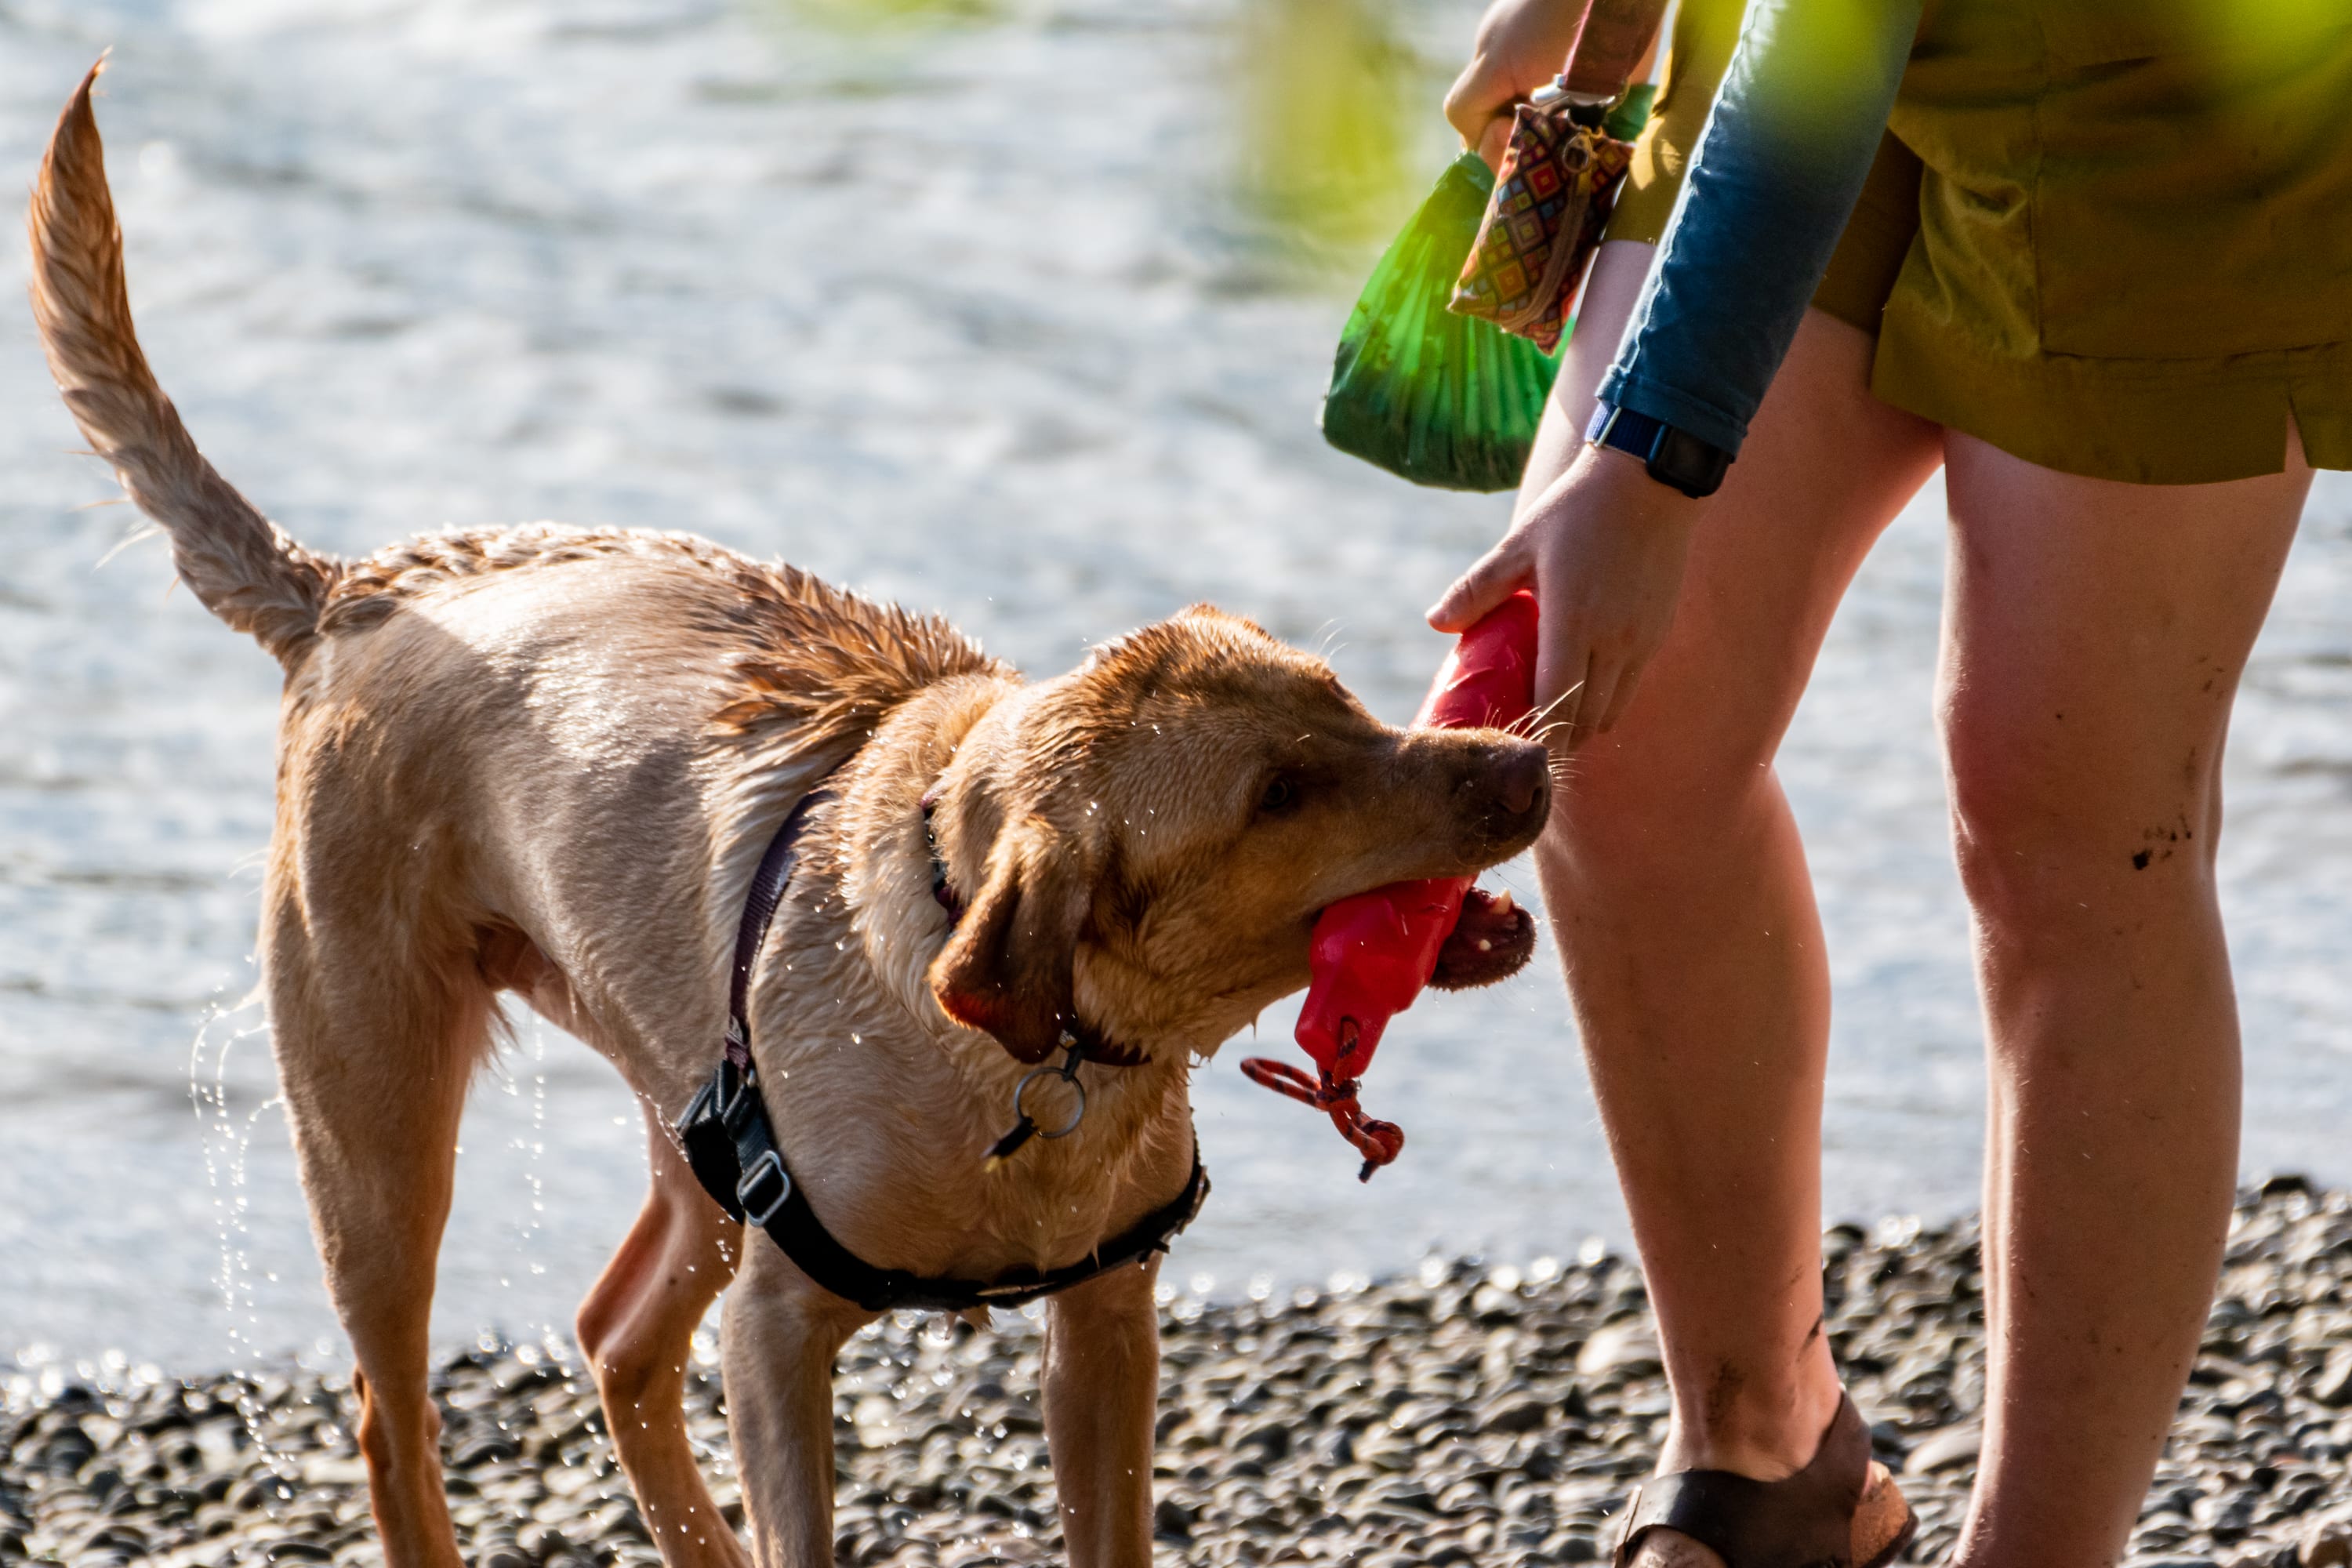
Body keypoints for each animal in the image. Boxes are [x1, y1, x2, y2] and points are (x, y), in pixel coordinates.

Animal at [28, 62, 1551, 1568]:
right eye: (1276, 797)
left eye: (1343, 698)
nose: (1523, 771)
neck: (1028, 1038)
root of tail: (352, 587)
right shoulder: (779, 1326)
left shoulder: (1107, 1327)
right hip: (381, 1133)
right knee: (396, 1417)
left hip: (683, 1132)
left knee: (615, 1339)